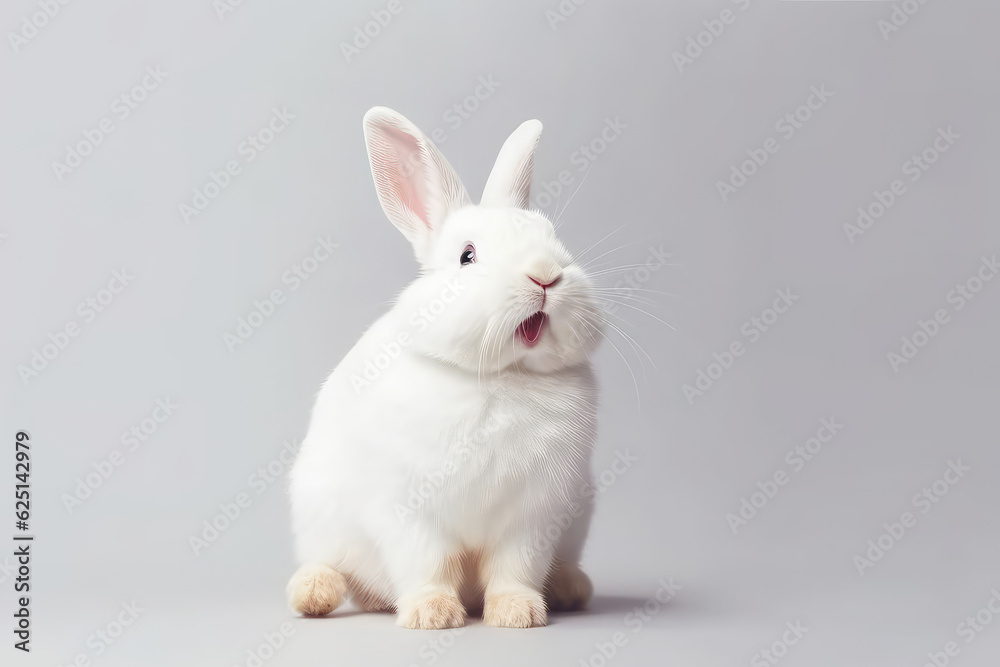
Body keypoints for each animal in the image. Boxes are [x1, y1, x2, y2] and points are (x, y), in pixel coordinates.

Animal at [286, 107, 603, 629]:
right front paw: (431, 614)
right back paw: (314, 592)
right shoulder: (408, 511)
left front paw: (517, 613)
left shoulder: (533, 516)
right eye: (466, 256)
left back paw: (571, 588)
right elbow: (427, 563)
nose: (545, 275)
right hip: (319, 514)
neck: (499, 376)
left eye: (557, 245)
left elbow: (515, 567)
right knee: (334, 567)